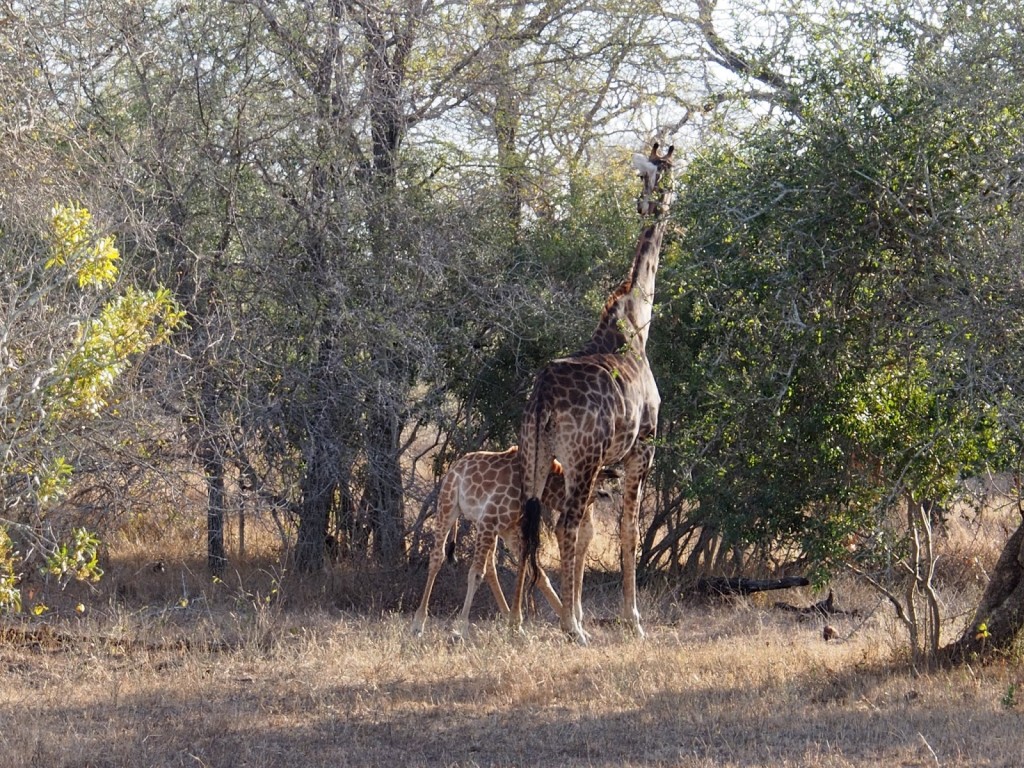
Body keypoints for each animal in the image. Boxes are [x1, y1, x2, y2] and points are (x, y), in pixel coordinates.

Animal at [409, 444, 598, 638]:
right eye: (583, 532)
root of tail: (455, 466)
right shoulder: (489, 520)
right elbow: (476, 573)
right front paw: (461, 627)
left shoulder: (508, 526)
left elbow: (536, 573)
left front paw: (577, 632)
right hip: (449, 507)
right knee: (437, 557)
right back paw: (418, 624)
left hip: (496, 527)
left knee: (492, 566)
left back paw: (513, 621)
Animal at [512, 143, 671, 643]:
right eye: (662, 172)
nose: (653, 204)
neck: (637, 322)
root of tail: (542, 395)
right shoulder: (641, 448)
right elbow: (627, 530)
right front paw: (631, 620)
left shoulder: (600, 463)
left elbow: (587, 534)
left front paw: (581, 611)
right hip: (578, 458)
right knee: (562, 523)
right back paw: (570, 630)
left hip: (539, 452)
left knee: (530, 520)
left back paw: (518, 622)